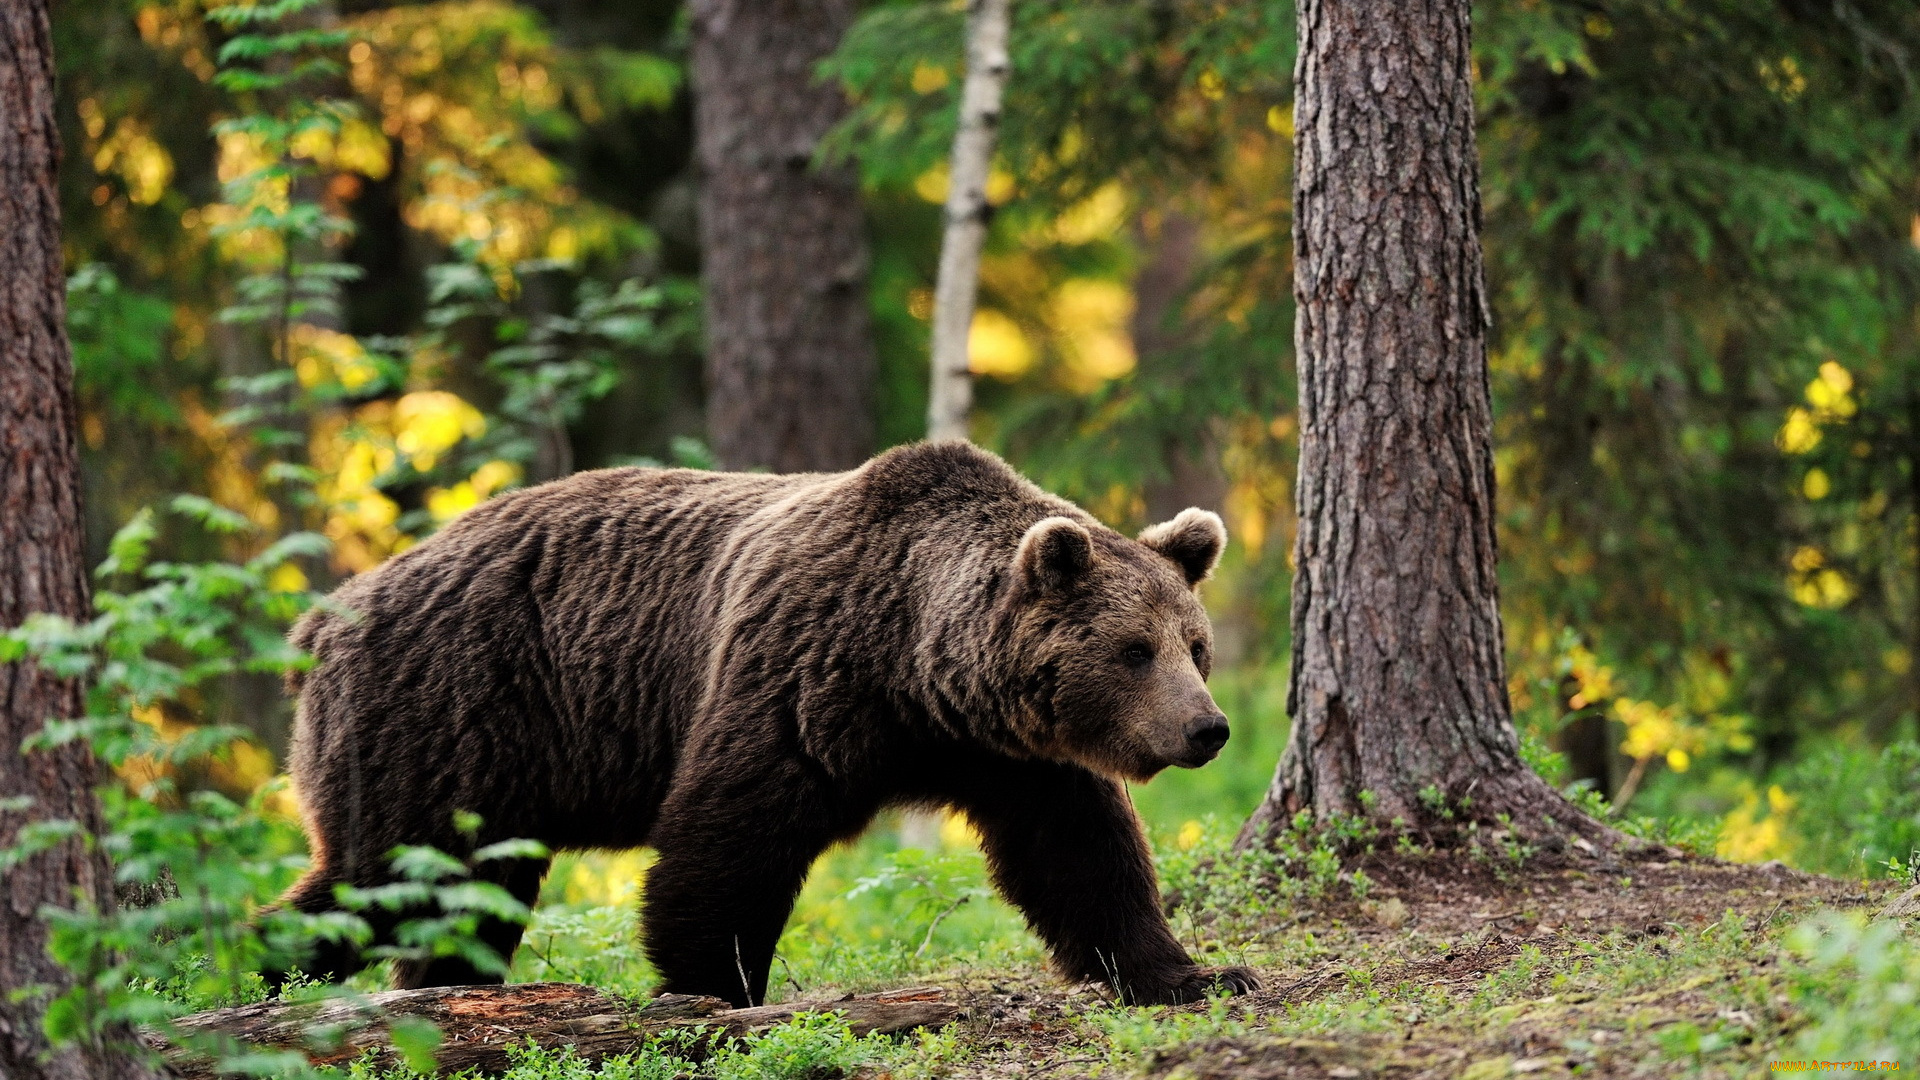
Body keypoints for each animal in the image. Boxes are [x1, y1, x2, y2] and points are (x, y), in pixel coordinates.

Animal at [274, 438, 1259, 999]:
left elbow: (1081, 857)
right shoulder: (801, 676)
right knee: (385, 876)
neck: (918, 670)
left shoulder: (1013, 754)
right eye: (1134, 649)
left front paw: (1198, 973)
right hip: (448, 714)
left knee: (459, 899)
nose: (1206, 728)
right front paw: (715, 986)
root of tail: (327, 615)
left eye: (1194, 645)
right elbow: (730, 835)